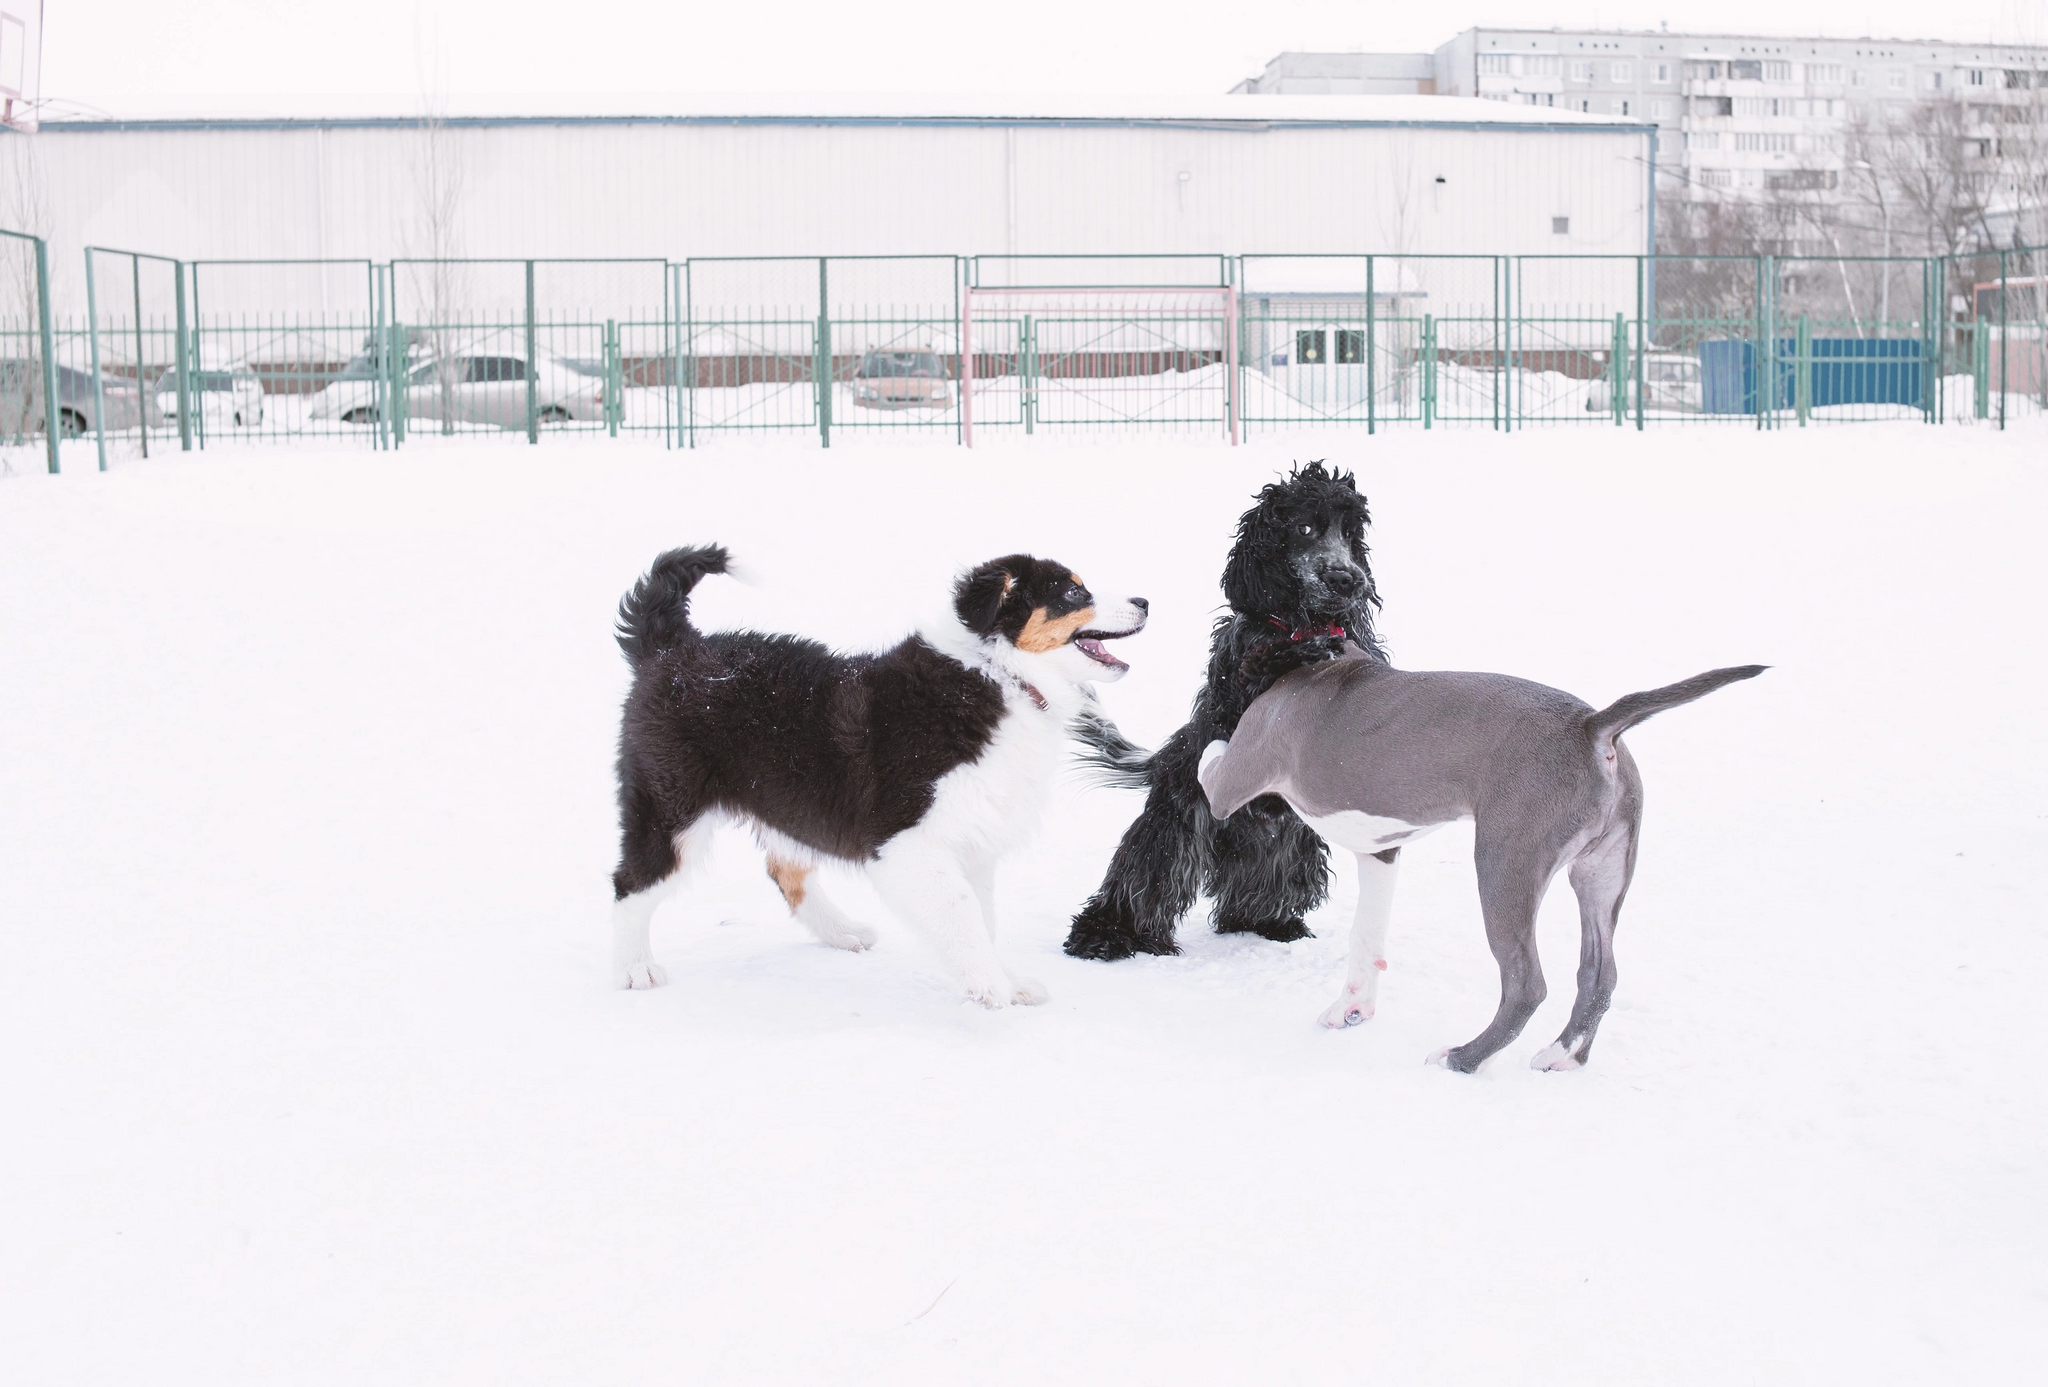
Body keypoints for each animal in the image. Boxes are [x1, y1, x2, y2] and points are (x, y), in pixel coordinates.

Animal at [606, 540, 1155, 1007]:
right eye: (1073, 592)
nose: (1146, 601)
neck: (999, 675)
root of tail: (672, 649)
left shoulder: (972, 839)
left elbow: (984, 917)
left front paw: (1007, 981)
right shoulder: (905, 839)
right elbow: (961, 909)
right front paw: (990, 987)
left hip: (786, 798)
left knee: (785, 870)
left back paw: (843, 932)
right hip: (671, 805)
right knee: (630, 881)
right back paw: (635, 969)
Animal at [1064, 458, 1384, 958]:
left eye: (1351, 534)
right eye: (1304, 527)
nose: (1346, 580)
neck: (1302, 623)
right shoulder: (1238, 693)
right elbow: (1261, 673)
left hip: (1286, 835)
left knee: (1257, 889)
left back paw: (1269, 923)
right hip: (1179, 821)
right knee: (1145, 877)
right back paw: (1104, 936)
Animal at [1196, 655, 1761, 1065]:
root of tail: (1591, 726)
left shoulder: (1232, 782)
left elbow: (1210, 759)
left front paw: (1201, 736)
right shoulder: (1381, 849)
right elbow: (1366, 937)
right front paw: (1352, 1007)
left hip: (1505, 863)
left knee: (1527, 984)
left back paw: (1462, 1058)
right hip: (1601, 872)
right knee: (1600, 974)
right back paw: (1563, 1055)